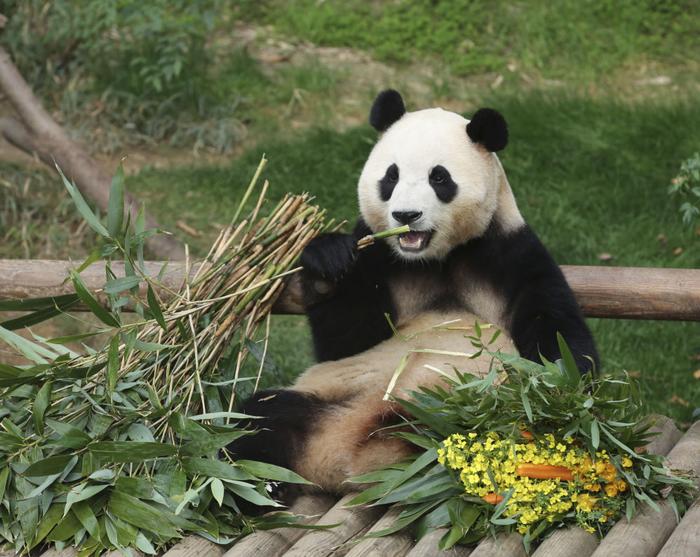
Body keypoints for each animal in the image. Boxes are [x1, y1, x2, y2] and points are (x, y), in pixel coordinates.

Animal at [228, 89, 596, 494]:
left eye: (439, 178)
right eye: (391, 176)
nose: (406, 215)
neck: (434, 259)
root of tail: (345, 461)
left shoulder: (510, 253)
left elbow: (557, 335)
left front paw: (557, 398)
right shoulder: (378, 257)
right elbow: (346, 339)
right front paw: (328, 260)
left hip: (464, 417)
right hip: (321, 399)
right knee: (255, 423)